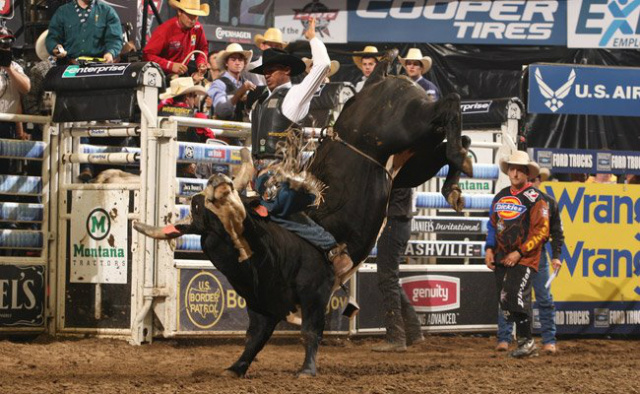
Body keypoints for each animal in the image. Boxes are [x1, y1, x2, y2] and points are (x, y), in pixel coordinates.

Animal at [134, 57, 470, 378]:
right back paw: (456, 178)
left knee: (449, 102)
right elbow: (254, 338)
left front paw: (307, 370)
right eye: (204, 216)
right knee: (447, 147)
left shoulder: (316, 292)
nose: (219, 183)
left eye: (239, 206)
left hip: (409, 124)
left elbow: (310, 332)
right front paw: (235, 368)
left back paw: (459, 163)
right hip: (412, 161)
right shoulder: (262, 305)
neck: (262, 254)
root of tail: (379, 78)